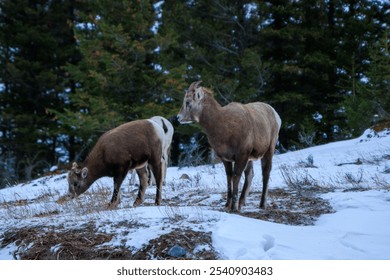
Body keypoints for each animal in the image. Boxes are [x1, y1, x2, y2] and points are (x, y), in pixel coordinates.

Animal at [177, 81, 280, 212]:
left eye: (188, 102)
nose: (178, 118)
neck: (224, 126)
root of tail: (276, 115)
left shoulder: (241, 155)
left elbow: (236, 177)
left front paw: (233, 208)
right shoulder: (226, 159)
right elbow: (229, 178)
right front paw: (227, 205)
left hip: (268, 151)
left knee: (265, 173)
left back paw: (261, 205)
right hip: (250, 159)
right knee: (250, 175)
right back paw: (241, 204)